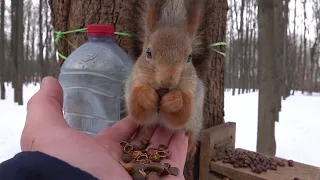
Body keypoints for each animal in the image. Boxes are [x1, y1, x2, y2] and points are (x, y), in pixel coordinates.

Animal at [125, 0, 205, 160]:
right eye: (148, 52)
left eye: (190, 57)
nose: (168, 82)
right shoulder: (135, 81)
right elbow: (138, 112)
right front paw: (146, 95)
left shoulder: (192, 89)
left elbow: (180, 116)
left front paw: (175, 100)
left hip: (196, 119)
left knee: (192, 132)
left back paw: (191, 145)